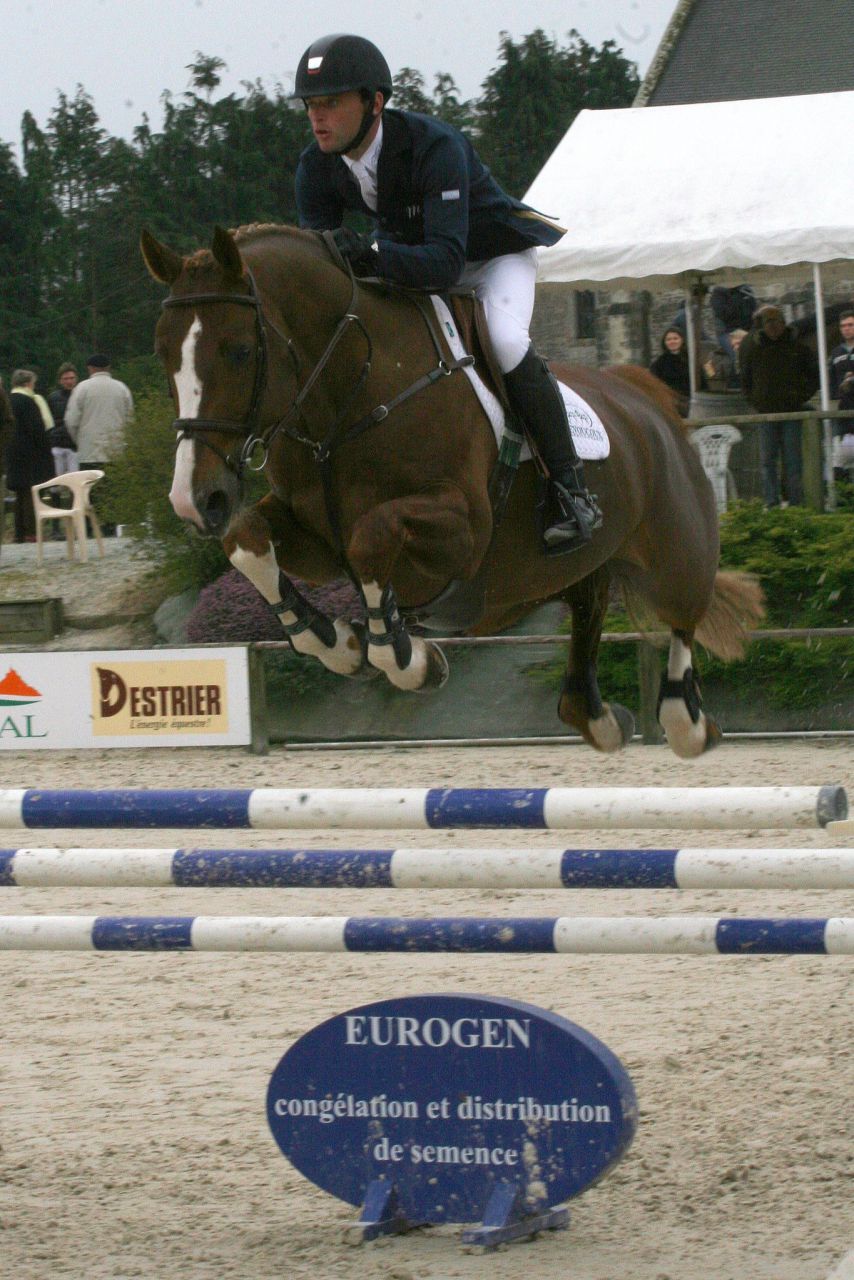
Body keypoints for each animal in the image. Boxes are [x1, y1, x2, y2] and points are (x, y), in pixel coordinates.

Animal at [140, 223, 764, 758]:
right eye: (162, 353)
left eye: (239, 351)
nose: (195, 501)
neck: (348, 396)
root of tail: (650, 398)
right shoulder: (314, 538)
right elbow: (247, 540)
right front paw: (334, 641)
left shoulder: (464, 531)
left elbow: (372, 537)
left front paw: (406, 655)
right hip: (577, 565)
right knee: (590, 604)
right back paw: (599, 717)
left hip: (675, 546)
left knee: (684, 611)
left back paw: (687, 722)